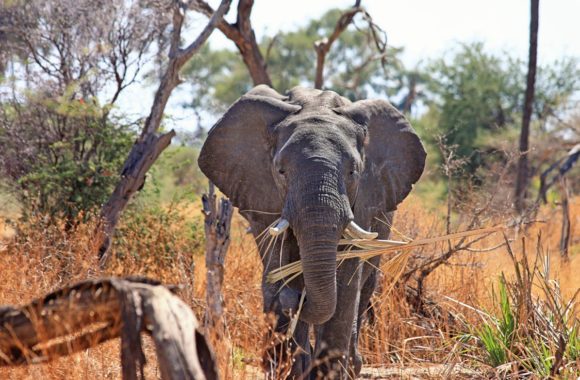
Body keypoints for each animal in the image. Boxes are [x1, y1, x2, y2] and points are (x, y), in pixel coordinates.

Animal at [199, 84, 426, 378]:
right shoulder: (265, 197)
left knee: (366, 286)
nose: (295, 298)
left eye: (353, 172)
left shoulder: (364, 198)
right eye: (281, 171)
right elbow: (279, 261)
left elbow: (346, 279)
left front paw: (325, 373)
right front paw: (289, 369)